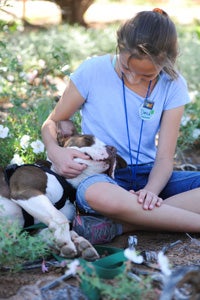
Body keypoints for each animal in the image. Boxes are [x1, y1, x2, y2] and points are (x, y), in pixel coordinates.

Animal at [0, 120, 126, 262]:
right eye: (87, 139)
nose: (113, 149)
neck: (68, 184)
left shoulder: (28, 231)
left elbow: (51, 230)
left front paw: (80, 243)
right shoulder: (25, 191)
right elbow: (60, 218)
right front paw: (66, 241)